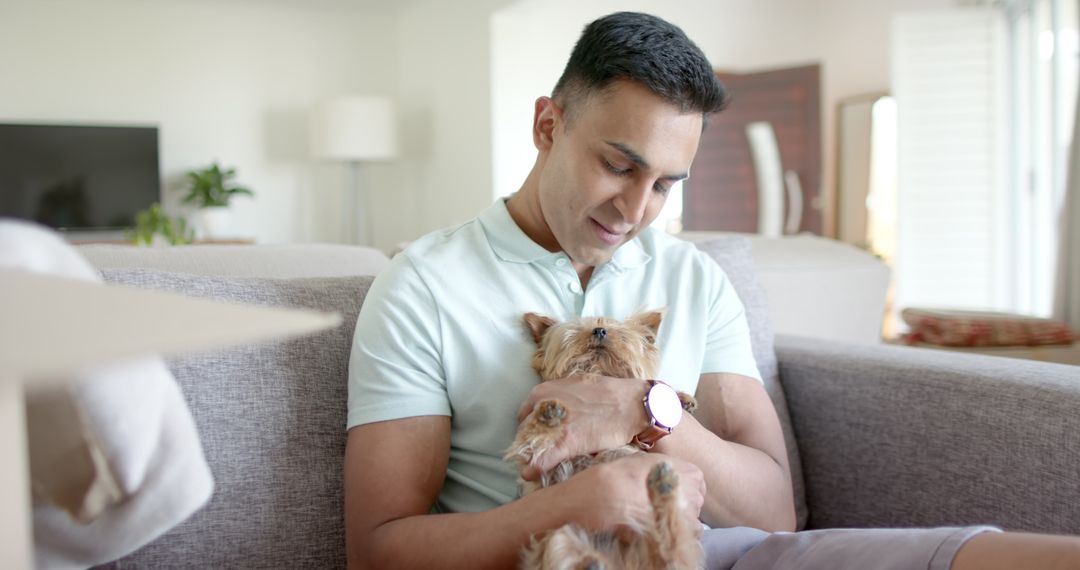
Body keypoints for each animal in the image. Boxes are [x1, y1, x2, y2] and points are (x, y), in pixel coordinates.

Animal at [507, 310, 704, 570]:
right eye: (574, 333)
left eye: (621, 335)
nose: (600, 331)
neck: (597, 371)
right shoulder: (533, 460)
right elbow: (533, 438)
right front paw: (548, 414)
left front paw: (682, 399)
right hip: (557, 539)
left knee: (672, 549)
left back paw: (664, 487)